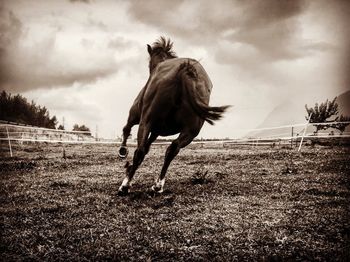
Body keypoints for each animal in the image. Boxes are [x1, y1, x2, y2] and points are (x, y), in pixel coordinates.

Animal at [117, 37, 230, 196]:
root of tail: (185, 70)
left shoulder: (137, 117)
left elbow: (127, 129)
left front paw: (123, 152)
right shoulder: (156, 131)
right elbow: (148, 146)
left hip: (146, 122)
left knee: (140, 151)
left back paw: (125, 186)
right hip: (191, 131)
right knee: (172, 149)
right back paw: (158, 185)